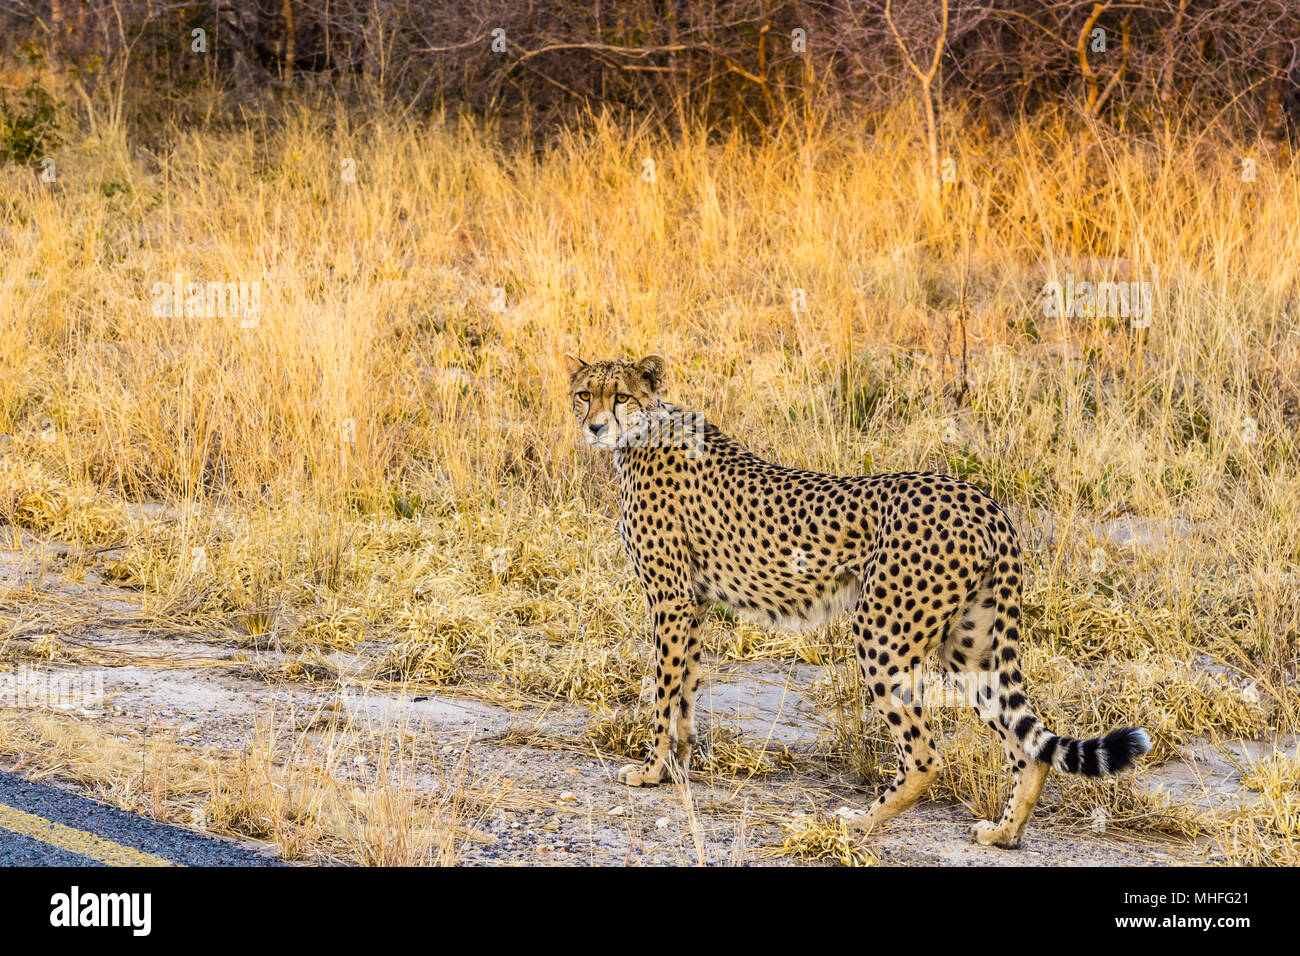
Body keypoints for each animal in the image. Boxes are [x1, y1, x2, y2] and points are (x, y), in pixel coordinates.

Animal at [564, 356, 1154, 848]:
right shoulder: (695, 603)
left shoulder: (670, 599)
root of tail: (981, 499)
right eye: (583, 394)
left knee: (925, 754)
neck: (645, 434)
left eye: (620, 396)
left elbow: (664, 692)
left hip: (882, 634)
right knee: (1025, 744)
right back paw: (1004, 833)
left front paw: (650, 770)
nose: (594, 427)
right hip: (971, 646)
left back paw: (858, 822)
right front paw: (676, 767)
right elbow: (684, 690)